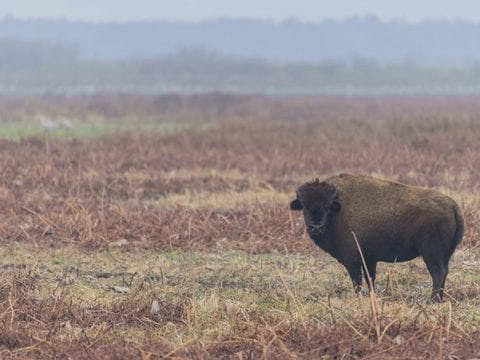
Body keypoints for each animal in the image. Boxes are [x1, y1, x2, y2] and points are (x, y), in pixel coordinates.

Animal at [290, 174, 464, 300]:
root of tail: (452, 205)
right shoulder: (369, 260)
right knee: (444, 273)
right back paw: (439, 298)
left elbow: (357, 282)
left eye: (327, 206)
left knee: (438, 273)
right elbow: (370, 280)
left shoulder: (352, 260)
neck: (338, 210)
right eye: (304, 205)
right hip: (443, 255)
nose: (316, 227)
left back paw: (432, 299)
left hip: (431, 254)